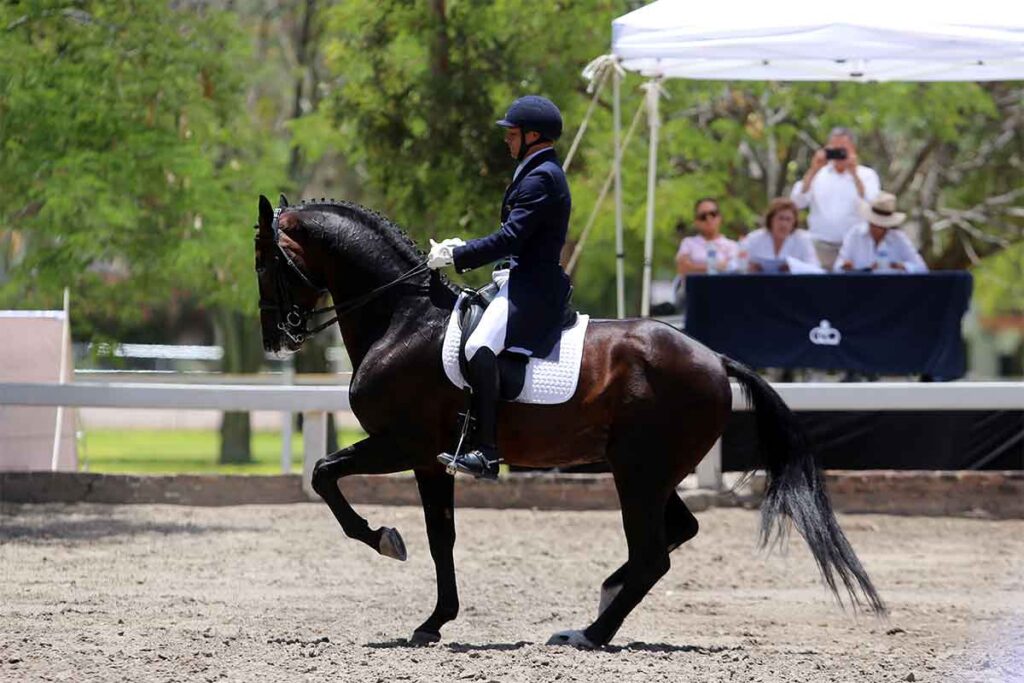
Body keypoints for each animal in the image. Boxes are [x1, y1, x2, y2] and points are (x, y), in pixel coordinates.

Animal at [252, 194, 885, 649]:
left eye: (266, 262)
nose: (276, 340)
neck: (405, 320)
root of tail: (714, 357)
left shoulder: (403, 445)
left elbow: (325, 474)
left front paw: (385, 541)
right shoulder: (429, 459)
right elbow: (440, 536)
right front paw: (434, 620)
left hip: (638, 472)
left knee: (655, 552)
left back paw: (589, 633)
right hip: (649, 472)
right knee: (674, 535)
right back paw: (605, 596)